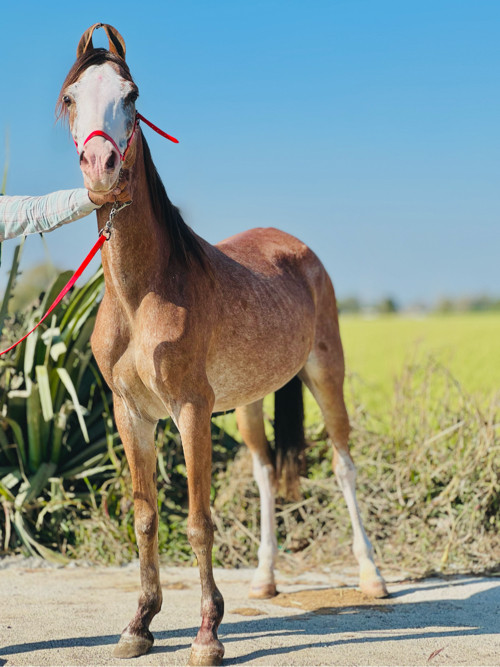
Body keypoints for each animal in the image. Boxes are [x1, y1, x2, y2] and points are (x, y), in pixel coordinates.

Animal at [57, 22, 386, 667]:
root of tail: (295, 246)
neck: (143, 292)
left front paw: (208, 634)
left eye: (132, 95)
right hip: (253, 401)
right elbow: (146, 517)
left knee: (343, 463)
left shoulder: (190, 409)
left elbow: (198, 521)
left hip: (326, 374)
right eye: (70, 98)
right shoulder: (131, 414)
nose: (101, 166)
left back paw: (371, 577)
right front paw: (140, 624)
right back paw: (264, 579)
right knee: (264, 472)